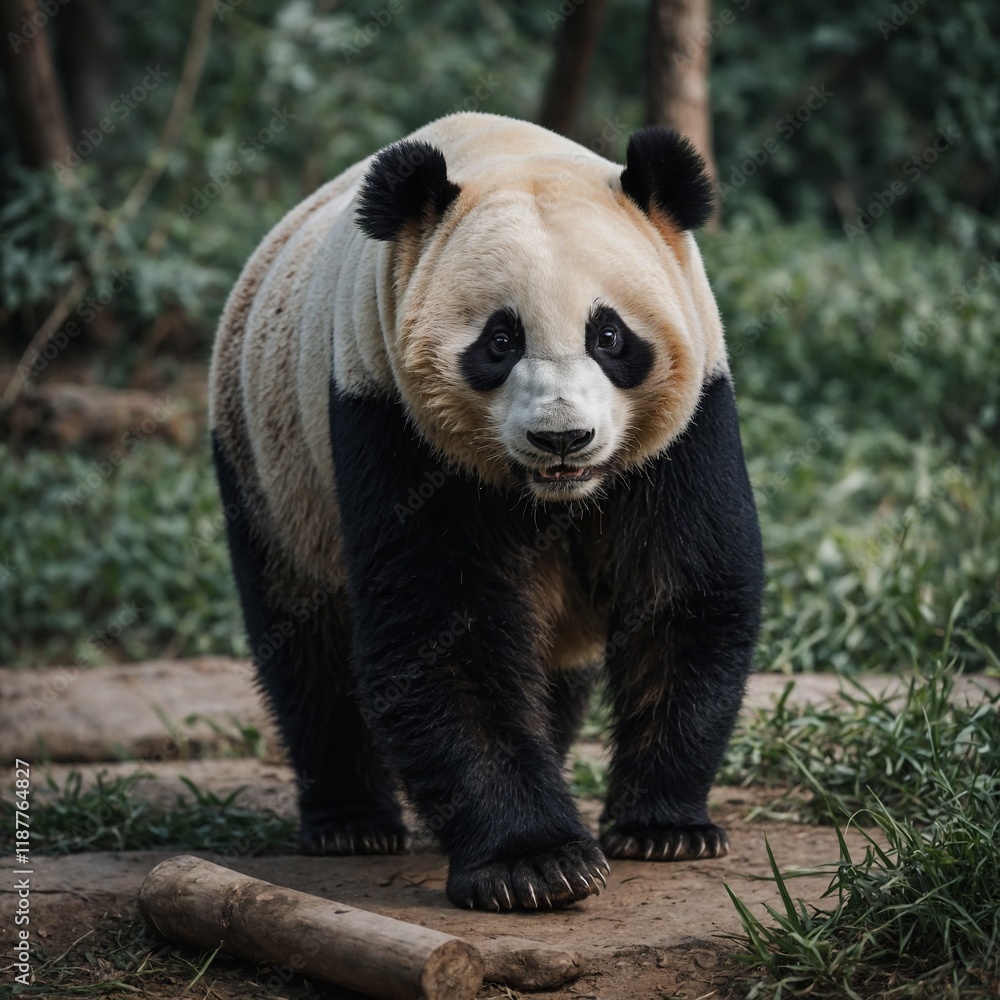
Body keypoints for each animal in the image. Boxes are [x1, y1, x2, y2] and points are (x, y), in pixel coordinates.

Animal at [209, 112, 763, 912]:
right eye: (500, 341)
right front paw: (534, 863)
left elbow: (683, 592)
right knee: (305, 638)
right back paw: (350, 822)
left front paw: (664, 828)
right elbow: (442, 627)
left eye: (609, 336)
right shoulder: (387, 413)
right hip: (267, 463)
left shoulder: (688, 423)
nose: (562, 438)